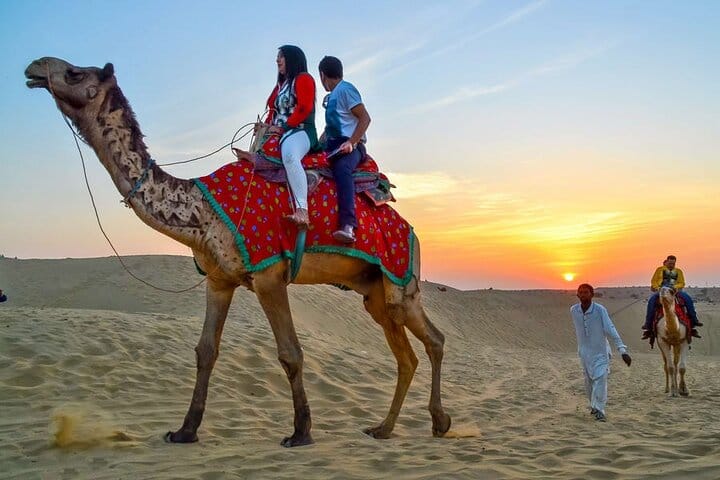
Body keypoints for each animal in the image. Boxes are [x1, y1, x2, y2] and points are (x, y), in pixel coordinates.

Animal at [25, 57, 451, 446]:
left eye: (75, 73)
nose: (34, 67)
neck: (202, 210)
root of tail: (411, 230)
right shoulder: (219, 280)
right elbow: (205, 351)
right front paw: (185, 431)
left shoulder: (268, 275)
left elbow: (290, 353)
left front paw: (300, 433)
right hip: (373, 291)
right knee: (407, 355)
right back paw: (384, 428)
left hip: (400, 280)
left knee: (433, 339)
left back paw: (439, 422)